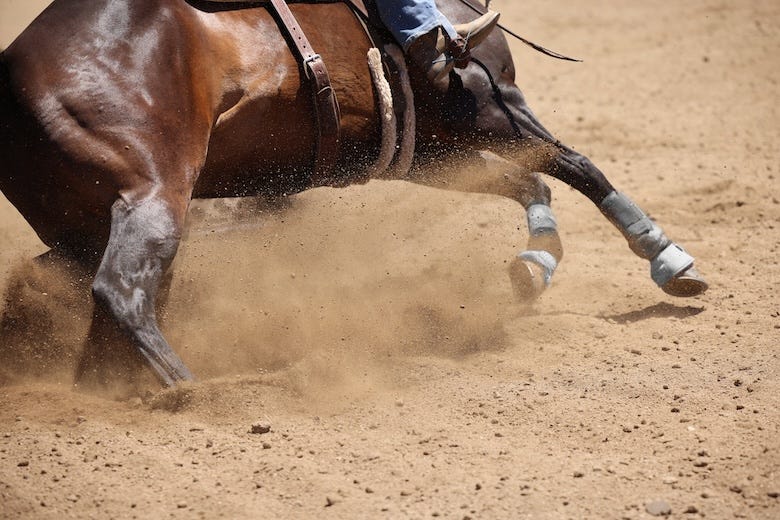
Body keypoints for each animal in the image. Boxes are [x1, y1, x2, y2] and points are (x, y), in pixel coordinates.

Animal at [0, 0, 707, 387]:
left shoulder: (422, 153)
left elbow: (530, 181)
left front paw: (532, 266)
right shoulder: (488, 105)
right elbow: (578, 167)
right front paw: (669, 261)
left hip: (83, 224)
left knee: (97, 292)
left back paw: (104, 388)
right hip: (154, 196)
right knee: (121, 292)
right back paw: (195, 390)